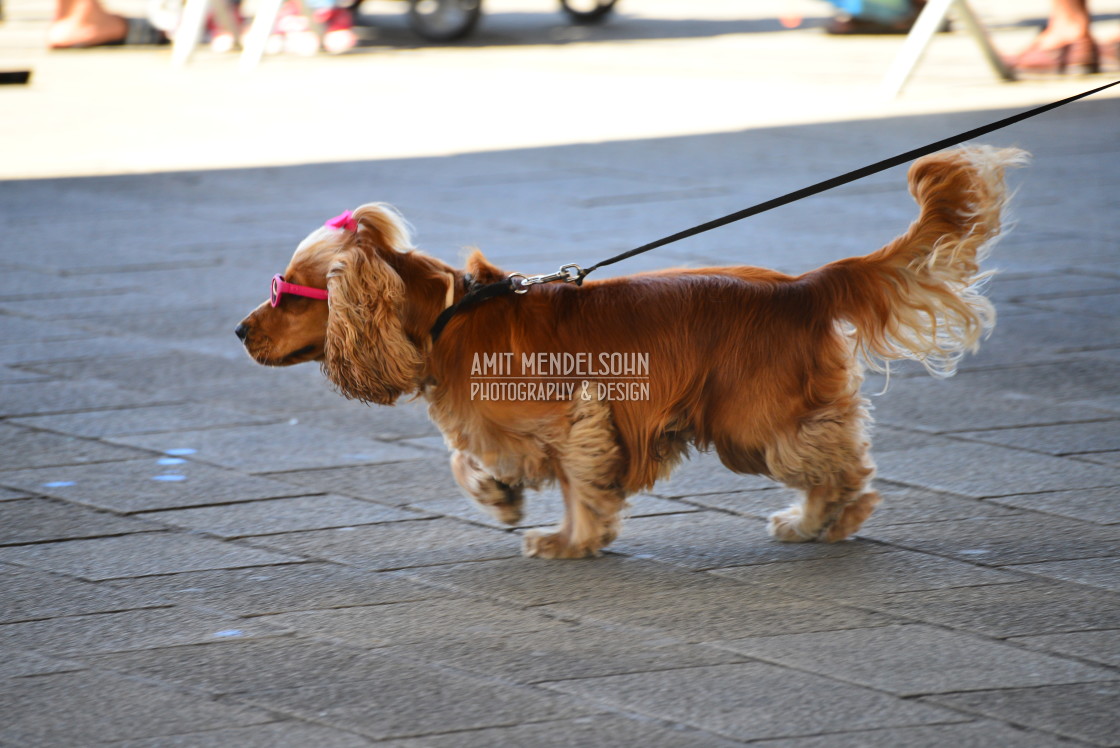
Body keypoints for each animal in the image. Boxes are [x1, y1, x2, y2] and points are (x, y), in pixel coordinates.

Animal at [240, 144, 1025, 555]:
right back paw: (821, 522)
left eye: (287, 295)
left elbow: (581, 483)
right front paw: (500, 495)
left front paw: (570, 541)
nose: (240, 331)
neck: (447, 320)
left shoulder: (576, 418)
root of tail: (804, 286)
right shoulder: (518, 424)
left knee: (840, 464)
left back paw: (820, 521)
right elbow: (468, 458)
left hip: (752, 419)